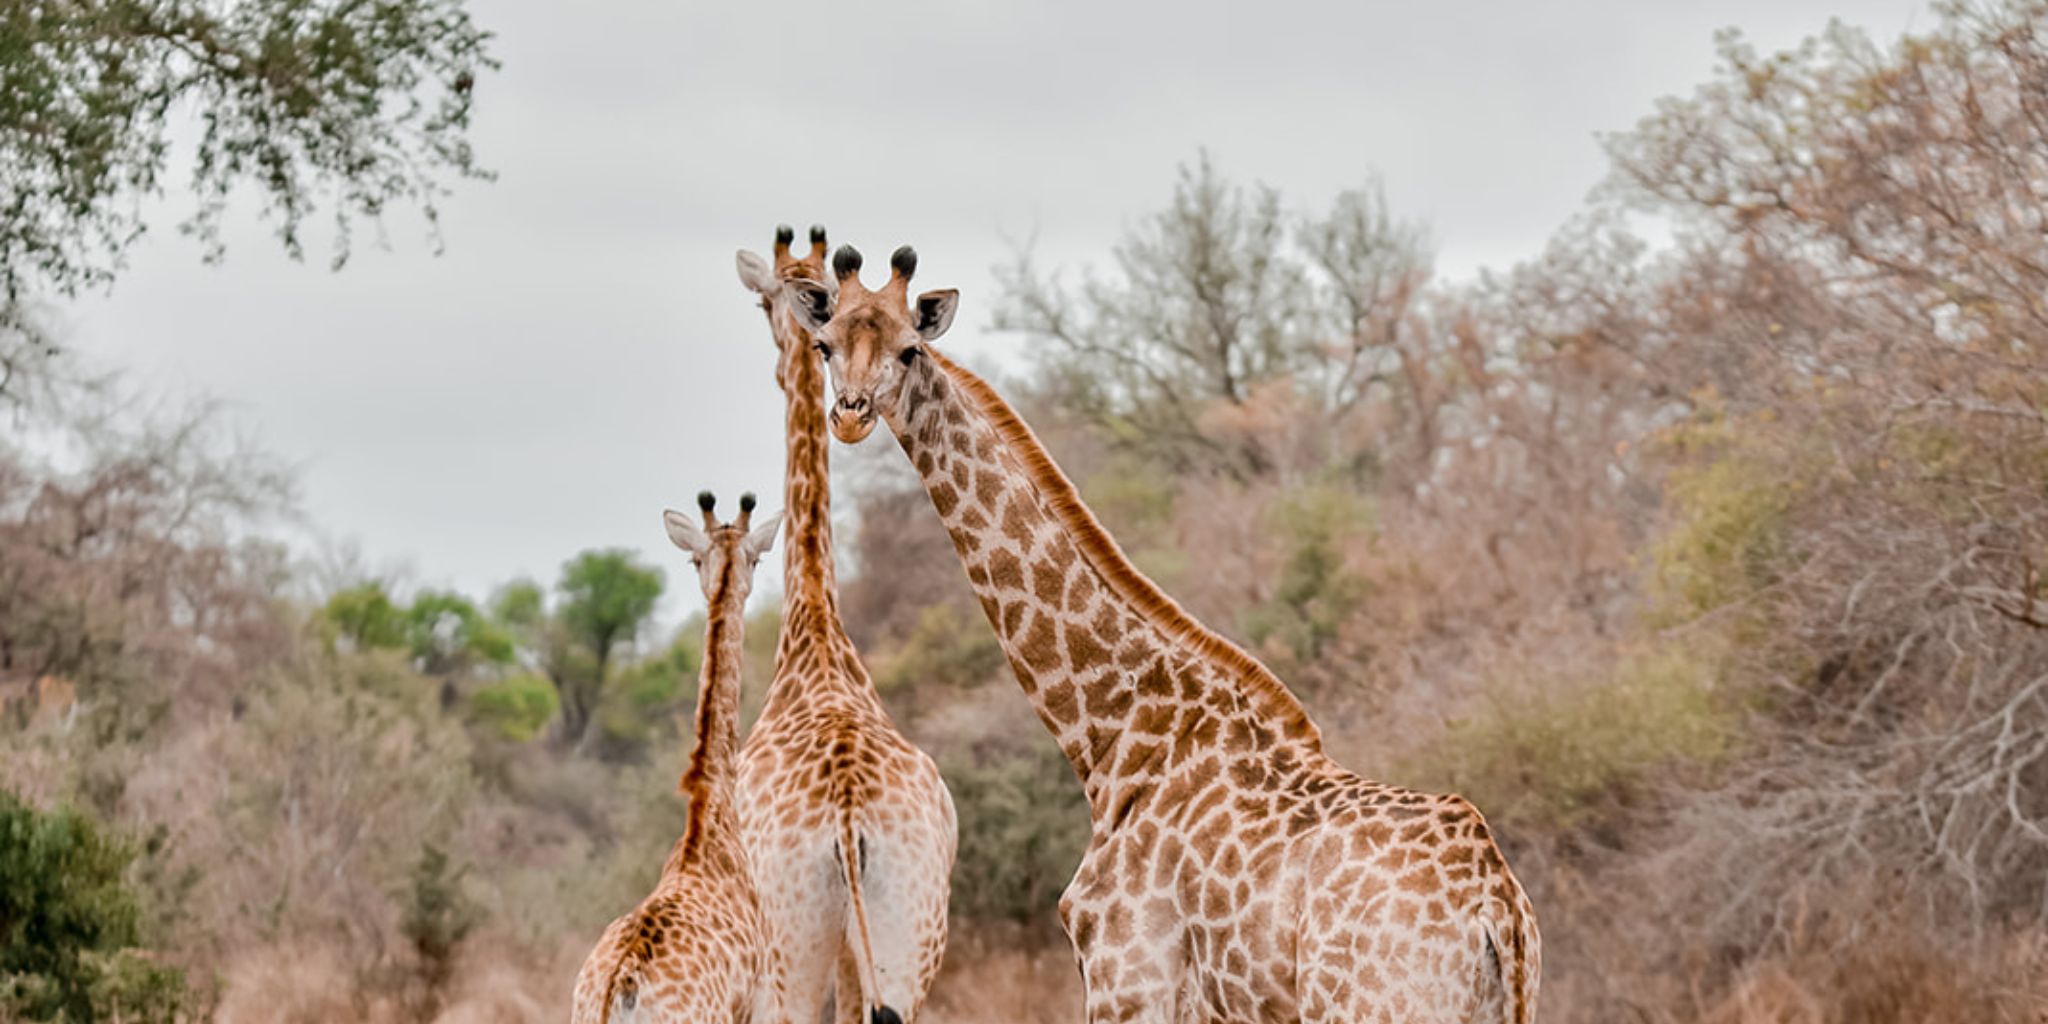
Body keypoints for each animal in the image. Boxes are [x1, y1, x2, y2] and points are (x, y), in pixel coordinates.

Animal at [730, 225, 957, 1024]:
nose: (852, 414)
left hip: (791, 942)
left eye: (765, 304)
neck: (816, 630)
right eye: (827, 341)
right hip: (909, 935)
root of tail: (849, 814)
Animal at [785, 244, 1542, 1024]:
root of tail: (1496, 913)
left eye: (909, 349)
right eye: (826, 344)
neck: (1116, 735)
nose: (851, 414)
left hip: (1371, 1007)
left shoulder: (1127, 984)